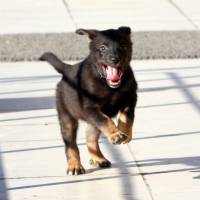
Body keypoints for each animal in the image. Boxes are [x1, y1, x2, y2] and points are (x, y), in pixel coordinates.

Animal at [40, 26, 138, 175]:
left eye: (123, 45)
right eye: (103, 48)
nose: (115, 59)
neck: (109, 86)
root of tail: (68, 69)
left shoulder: (130, 99)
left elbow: (126, 118)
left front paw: (124, 132)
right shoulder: (90, 108)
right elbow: (105, 120)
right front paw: (115, 134)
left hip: (92, 123)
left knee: (90, 138)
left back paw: (98, 159)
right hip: (67, 118)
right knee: (71, 144)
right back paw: (74, 166)